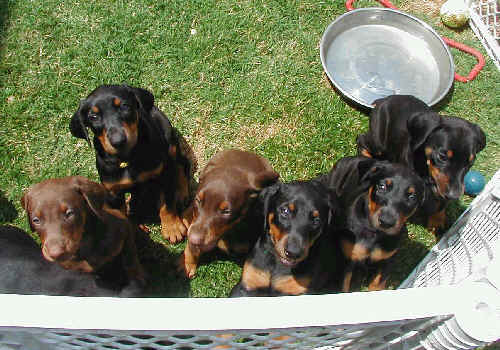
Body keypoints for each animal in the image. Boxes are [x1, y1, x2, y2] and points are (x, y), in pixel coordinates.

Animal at [70, 85, 195, 243]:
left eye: (124, 106)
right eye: (93, 116)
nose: (118, 141)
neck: (127, 158)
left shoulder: (162, 174)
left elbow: (167, 203)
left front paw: (173, 228)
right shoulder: (113, 191)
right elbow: (122, 214)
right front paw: (135, 232)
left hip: (169, 140)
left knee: (180, 164)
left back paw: (181, 192)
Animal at [178, 148, 280, 278]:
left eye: (226, 211)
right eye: (198, 200)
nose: (194, 239)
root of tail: (244, 152)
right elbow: (192, 247)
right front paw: (187, 264)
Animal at [322, 157, 424, 292]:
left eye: (412, 196)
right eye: (382, 186)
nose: (386, 222)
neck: (374, 232)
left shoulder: (387, 260)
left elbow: (377, 284)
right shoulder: (346, 259)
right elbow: (343, 286)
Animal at [358, 94, 486, 234]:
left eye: (470, 162)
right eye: (442, 156)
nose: (454, 195)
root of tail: (383, 100)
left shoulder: (441, 186)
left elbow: (441, 203)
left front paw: (437, 222)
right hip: (378, 141)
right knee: (362, 140)